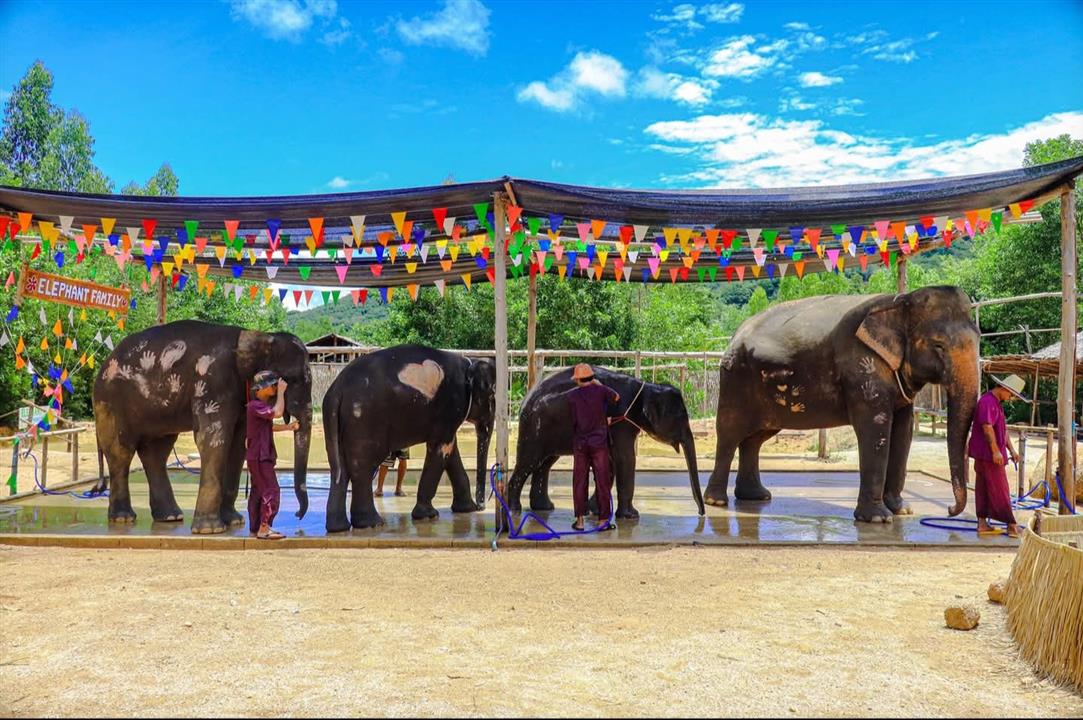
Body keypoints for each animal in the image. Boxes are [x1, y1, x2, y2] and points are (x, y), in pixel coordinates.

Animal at [92, 320, 313, 534]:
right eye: (291, 380)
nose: (297, 515)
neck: (257, 335)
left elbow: (238, 445)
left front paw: (234, 522)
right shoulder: (212, 382)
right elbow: (214, 438)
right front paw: (211, 530)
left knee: (156, 452)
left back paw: (170, 517)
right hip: (111, 402)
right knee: (121, 452)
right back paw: (124, 518)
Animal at [322, 344, 495, 532]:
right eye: (492, 394)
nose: (481, 506)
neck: (470, 362)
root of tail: (337, 391)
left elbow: (450, 450)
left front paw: (466, 509)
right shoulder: (451, 405)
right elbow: (441, 448)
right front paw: (428, 516)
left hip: (338, 420)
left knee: (339, 469)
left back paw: (338, 528)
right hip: (364, 418)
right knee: (362, 467)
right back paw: (372, 524)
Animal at [506, 366, 706, 519]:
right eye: (680, 417)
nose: (701, 513)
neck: (646, 387)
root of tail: (525, 401)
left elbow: (610, 462)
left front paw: (594, 511)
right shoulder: (621, 420)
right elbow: (625, 459)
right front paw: (632, 516)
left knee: (545, 463)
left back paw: (544, 508)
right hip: (537, 427)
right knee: (529, 462)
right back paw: (514, 510)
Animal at [704, 286, 979, 523]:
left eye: (979, 339)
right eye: (939, 345)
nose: (950, 510)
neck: (898, 301)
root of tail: (735, 335)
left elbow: (904, 432)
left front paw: (902, 511)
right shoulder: (862, 368)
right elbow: (875, 429)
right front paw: (878, 519)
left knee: (755, 439)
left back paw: (756, 497)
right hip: (734, 380)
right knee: (729, 434)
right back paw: (716, 502)